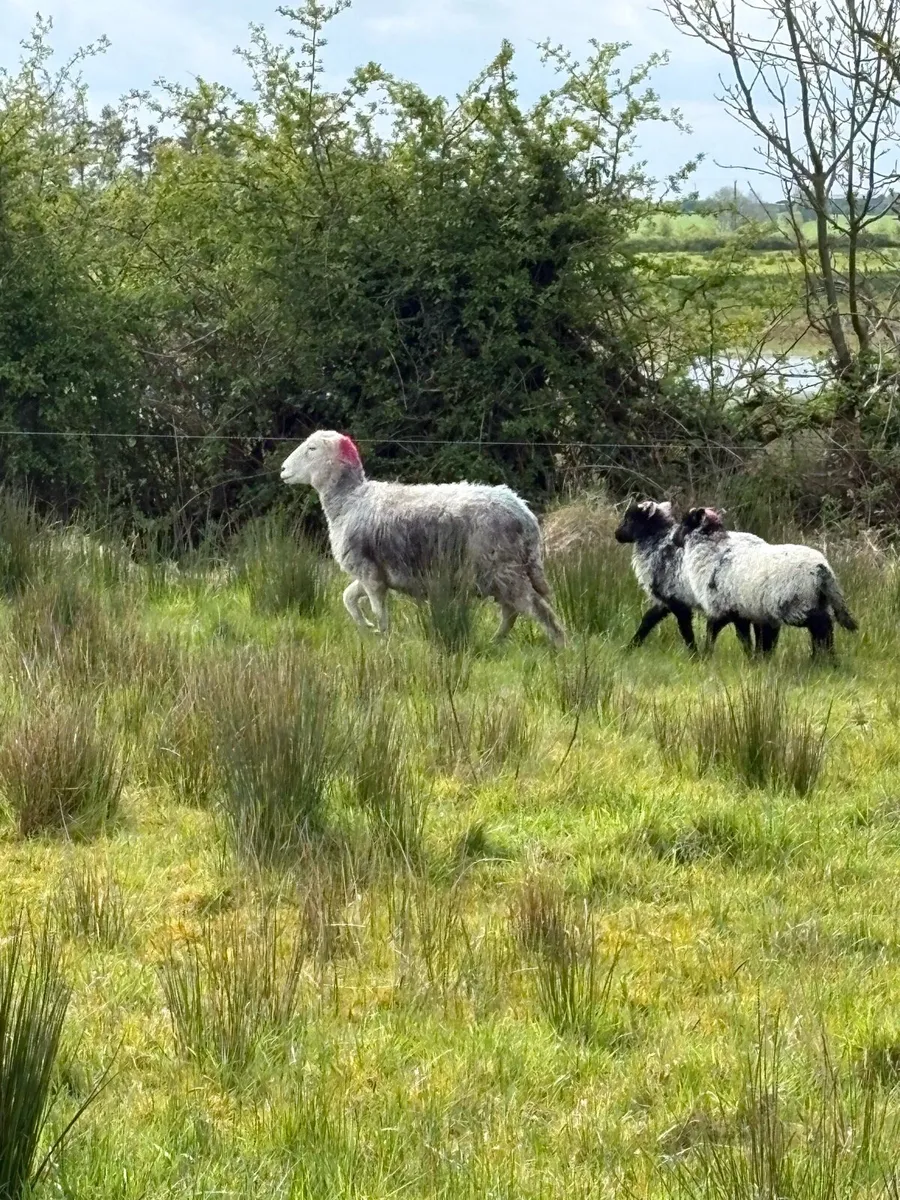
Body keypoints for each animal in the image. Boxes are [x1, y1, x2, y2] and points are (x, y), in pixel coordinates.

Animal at [279, 430, 566, 646]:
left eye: (312, 449)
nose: (282, 469)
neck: (350, 499)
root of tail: (524, 513)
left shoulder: (369, 571)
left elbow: (378, 611)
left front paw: (383, 638)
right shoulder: (376, 573)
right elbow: (348, 597)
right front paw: (367, 626)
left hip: (502, 567)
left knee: (534, 607)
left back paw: (561, 645)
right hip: (502, 571)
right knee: (511, 611)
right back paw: (495, 641)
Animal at [614, 499, 769, 655]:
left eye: (630, 519)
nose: (617, 534)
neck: (658, 543)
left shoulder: (677, 599)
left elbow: (685, 630)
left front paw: (694, 655)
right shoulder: (665, 600)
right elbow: (648, 620)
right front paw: (629, 648)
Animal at [673, 506, 858, 657]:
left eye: (685, 523)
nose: (673, 539)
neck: (712, 552)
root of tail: (822, 568)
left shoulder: (725, 609)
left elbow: (720, 634)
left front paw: (708, 656)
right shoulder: (753, 613)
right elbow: (760, 640)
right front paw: (759, 660)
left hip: (799, 604)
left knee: (822, 627)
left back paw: (825, 659)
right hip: (818, 601)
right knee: (824, 630)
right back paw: (822, 659)